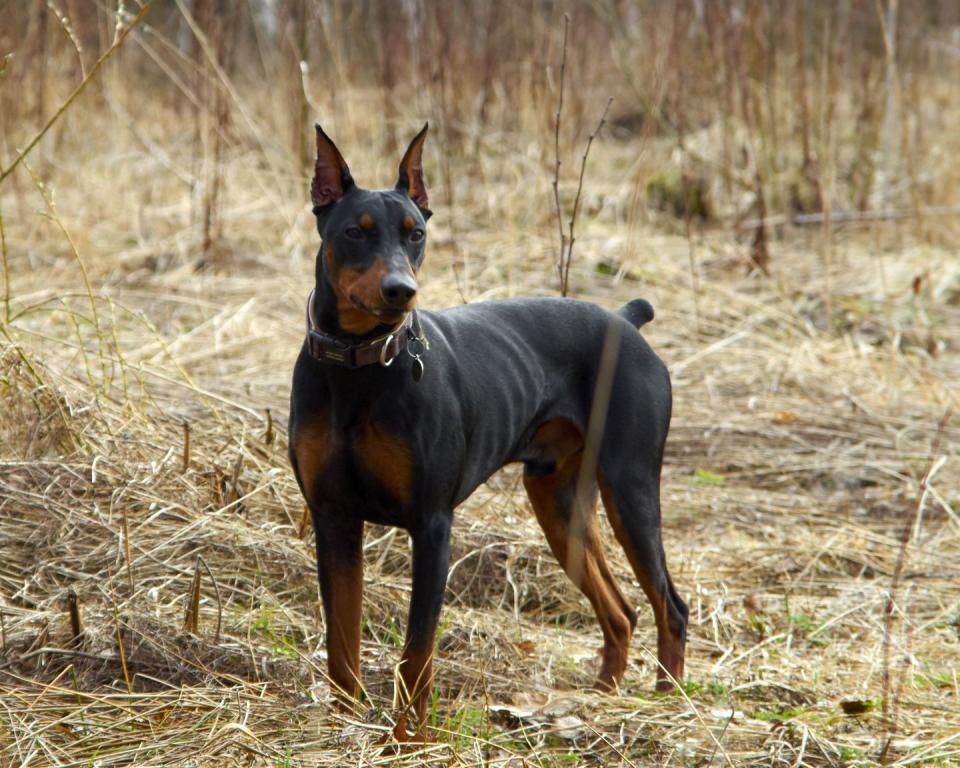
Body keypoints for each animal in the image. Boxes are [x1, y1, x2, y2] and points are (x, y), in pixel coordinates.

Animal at [288, 123, 688, 740]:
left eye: (417, 234)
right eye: (355, 232)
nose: (401, 291)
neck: (359, 365)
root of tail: (625, 320)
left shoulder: (431, 526)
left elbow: (417, 652)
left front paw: (408, 741)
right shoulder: (333, 519)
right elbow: (342, 645)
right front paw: (344, 729)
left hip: (631, 487)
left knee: (671, 607)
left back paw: (667, 706)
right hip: (559, 505)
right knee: (621, 611)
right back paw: (600, 699)